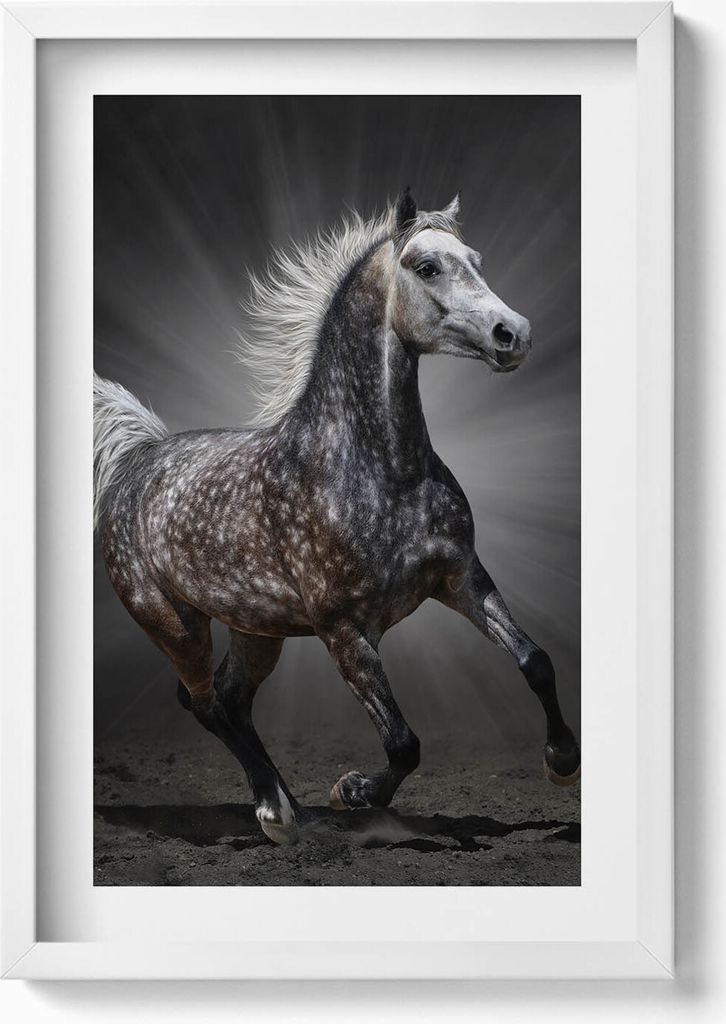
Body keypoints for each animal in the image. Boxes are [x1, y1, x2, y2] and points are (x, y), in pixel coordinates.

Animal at [94, 189, 580, 846]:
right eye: (427, 266)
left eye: (476, 260)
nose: (515, 334)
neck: (380, 471)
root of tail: (138, 459)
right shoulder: (343, 630)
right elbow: (403, 744)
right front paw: (352, 792)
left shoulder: (462, 579)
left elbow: (536, 662)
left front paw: (562, 763)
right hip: (173, 623)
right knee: (203, 701)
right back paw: (276, 813)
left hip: (256, 630)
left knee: (229, 700)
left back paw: (288, 805)